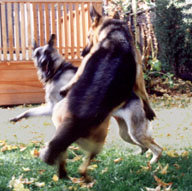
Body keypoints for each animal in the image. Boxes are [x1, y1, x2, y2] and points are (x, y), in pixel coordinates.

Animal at [38, 7, 162, 181]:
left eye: (88, 36)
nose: (82, 53)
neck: (115, 33)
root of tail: (77, 121)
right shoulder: (138, 75)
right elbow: (144, 94)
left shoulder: (85, 65)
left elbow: (74, 78)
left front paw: (64, 89)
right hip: (117, 136)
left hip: (124, 134)